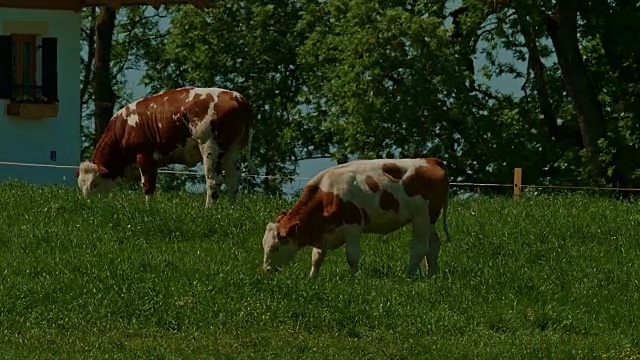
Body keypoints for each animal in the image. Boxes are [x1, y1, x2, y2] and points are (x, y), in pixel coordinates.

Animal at [77, 85, 252, 207]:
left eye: (94, 184)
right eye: (81, 186)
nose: (90, 205)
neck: (124, 128)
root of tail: (235, 96)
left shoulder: (145, 156)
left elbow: (148, 185)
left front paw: (148, 209)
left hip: (210, 147)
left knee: (214, 179)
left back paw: (209, 209)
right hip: (232, 150)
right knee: (233, 178)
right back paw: (230, 208)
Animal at [260, 158, 450, 278]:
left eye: (275, 247)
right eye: (264, 245)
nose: (266, 269)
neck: (328, 193)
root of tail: (430, 160)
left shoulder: (352, 227)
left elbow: (351, 256)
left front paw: (355, 278)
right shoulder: (324, 233)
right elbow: (317, 257)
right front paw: (311, 278)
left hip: (422, 217)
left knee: (419, 247)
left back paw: (408, 274)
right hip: (429, 219)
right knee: (433, 244)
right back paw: (431, 274)